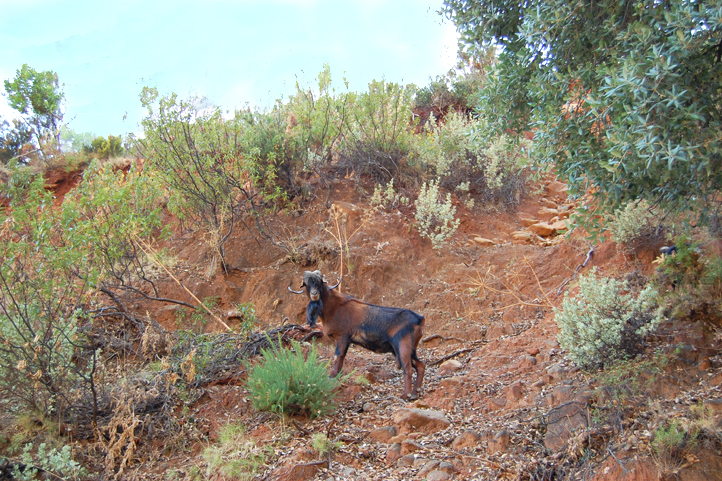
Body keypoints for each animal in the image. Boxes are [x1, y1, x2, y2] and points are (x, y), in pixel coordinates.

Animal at [289, 270, 425, 400]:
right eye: (306, 284)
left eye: (320, 282)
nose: (314, 294)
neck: (333, 306)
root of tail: (419, 319)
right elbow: (341, 358)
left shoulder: (342, 336)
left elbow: (338, 356)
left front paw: (332, 376)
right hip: (407, 349)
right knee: (420, 365)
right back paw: (415, 393)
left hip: (403, 347)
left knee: (408, 369)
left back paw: (405, 395)